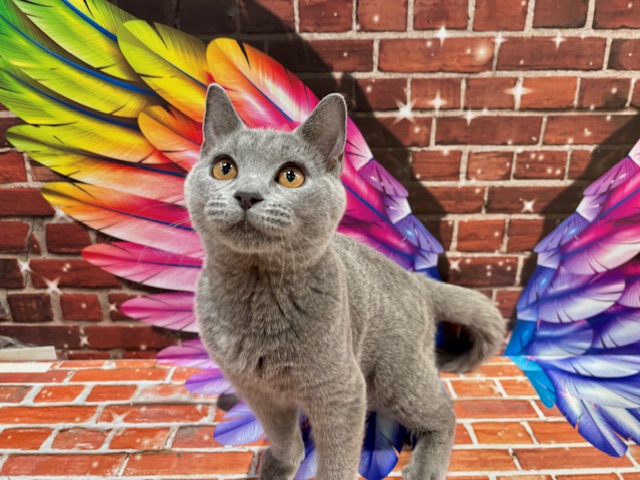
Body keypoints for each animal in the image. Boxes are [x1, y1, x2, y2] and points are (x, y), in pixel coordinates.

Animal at [186, 84, 506, 480]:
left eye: (291, 176)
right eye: (224, 168)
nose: (246, 194)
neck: (257, 296)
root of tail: (416, 279)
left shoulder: (341, 390)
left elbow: (338, 458)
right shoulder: (257, 389)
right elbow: (281, 434)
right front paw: (279, 466)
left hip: (395, 373)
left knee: (444, 413)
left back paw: (424, 468)